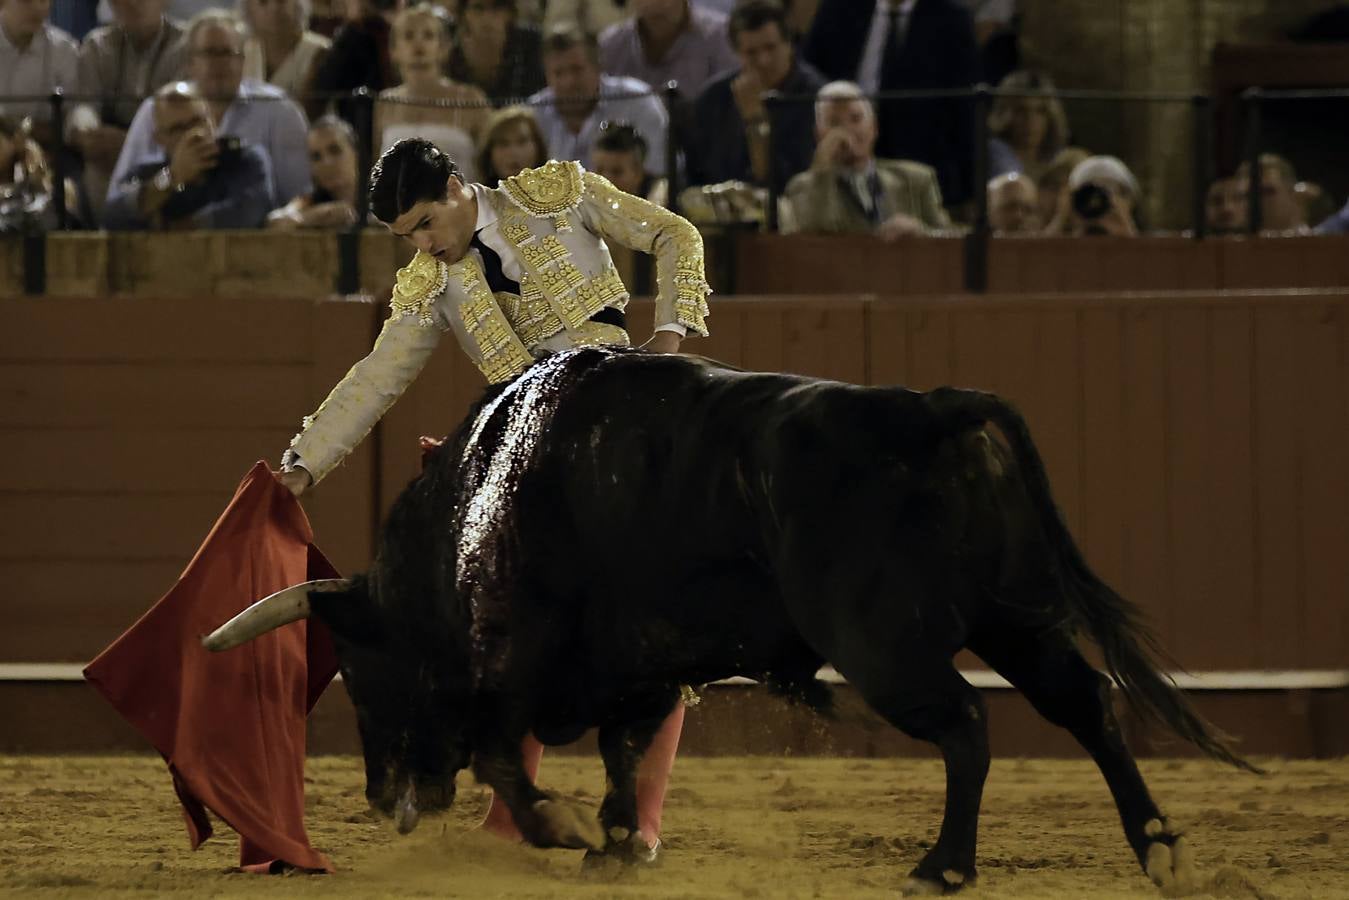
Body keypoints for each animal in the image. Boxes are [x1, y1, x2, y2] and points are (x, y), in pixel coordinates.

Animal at [213, 350, 1251, 895]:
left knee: (964, 721)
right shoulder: (635, 663)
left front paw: (564, 828)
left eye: (359, 671)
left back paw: (943, 867)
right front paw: (616, 844)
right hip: (1016, 618)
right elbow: (626, 749)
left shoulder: (514, 659)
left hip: (884, 644)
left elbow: (508, 758)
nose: (386, 802)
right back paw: (1157, 847)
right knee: (1085, 704)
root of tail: (929, 409)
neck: (477, 493)